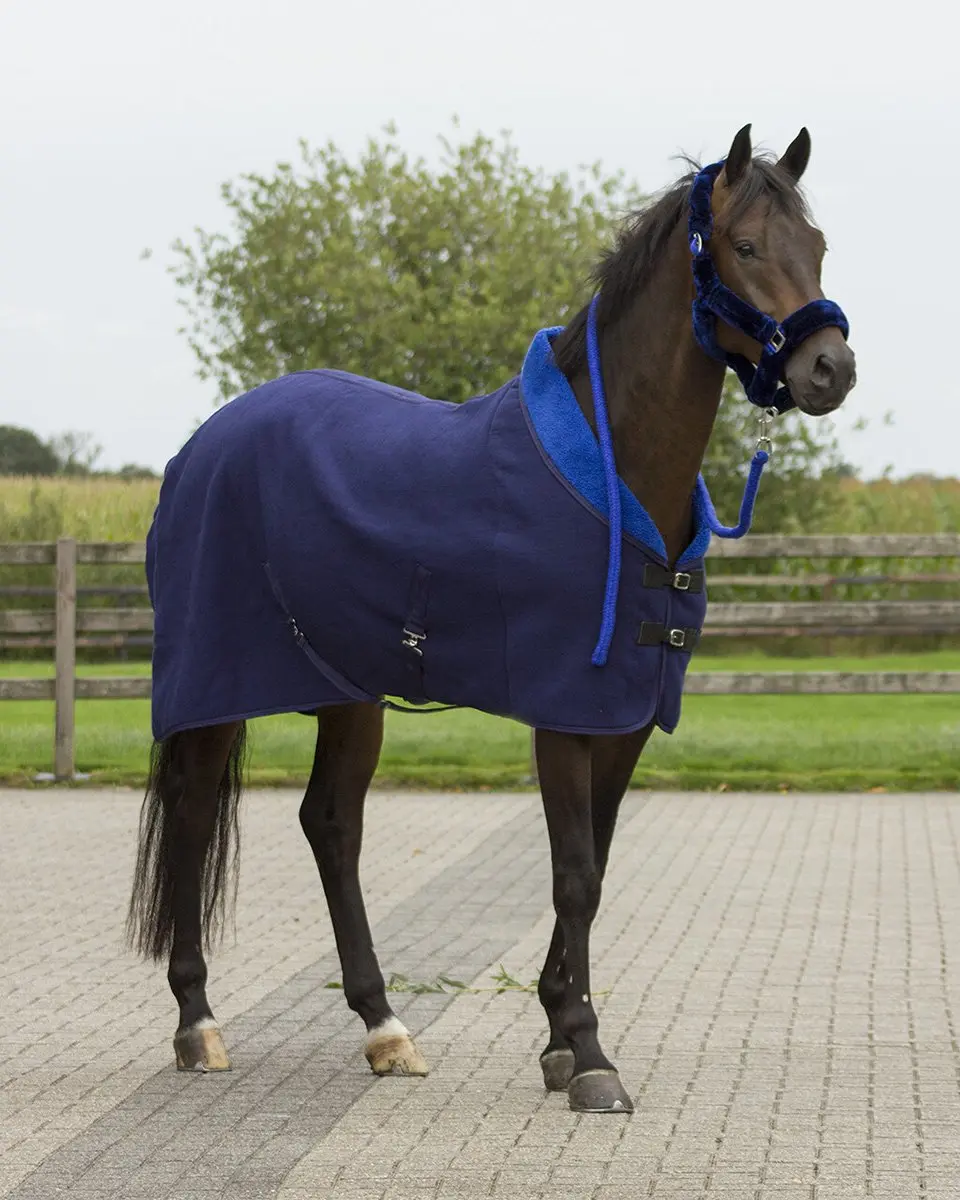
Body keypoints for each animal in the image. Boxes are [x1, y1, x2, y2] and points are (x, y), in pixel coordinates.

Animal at [128, 124, 856, 1114]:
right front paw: (589, 1055)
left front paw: (556, 1037)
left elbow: (593, 867)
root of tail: (198, 448)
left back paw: (384, 1027)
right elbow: (575, 875)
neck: (616, 474)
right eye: (745, 246)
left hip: (350, 693)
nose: (831, 369)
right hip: (215, 689)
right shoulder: (564, 713)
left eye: (814, 245)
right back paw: (198, 1024)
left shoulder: (625, 718)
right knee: (196, 817)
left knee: (332, 827)